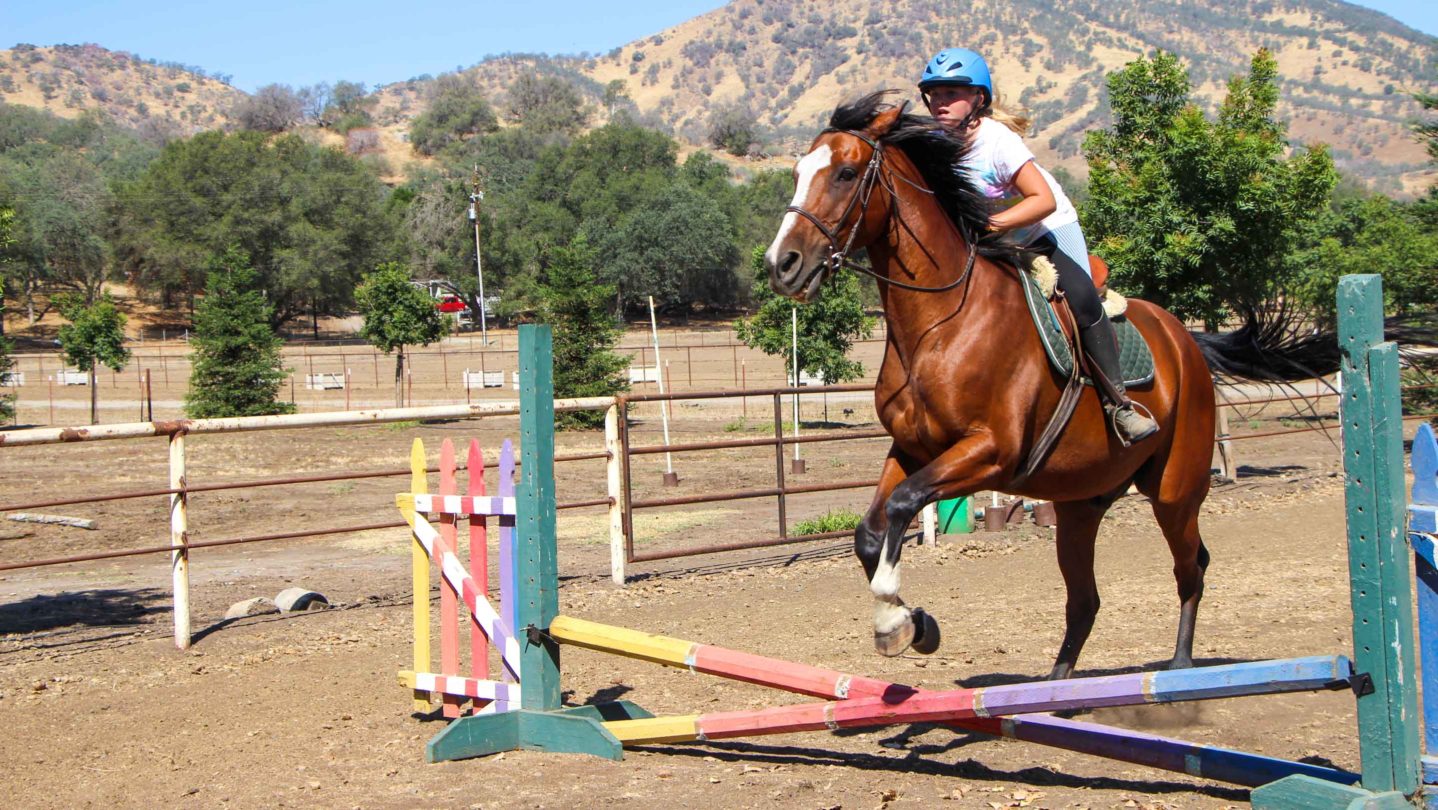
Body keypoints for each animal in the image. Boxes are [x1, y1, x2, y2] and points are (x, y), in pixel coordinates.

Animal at [759, 92, 1219, 681]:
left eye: (845, 173)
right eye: (798, 173)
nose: (782, 266)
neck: (939, 323)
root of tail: (1184, 340)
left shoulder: (991, 451)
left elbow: (903, 505)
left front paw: (895, 621)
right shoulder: (913, 449)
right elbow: (869, 532)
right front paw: (914, 625)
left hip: (1175, 490)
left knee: (1191, 567)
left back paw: (1180, 667)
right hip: (1081, 503)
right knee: (1085, 599)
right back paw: (1055, 685)